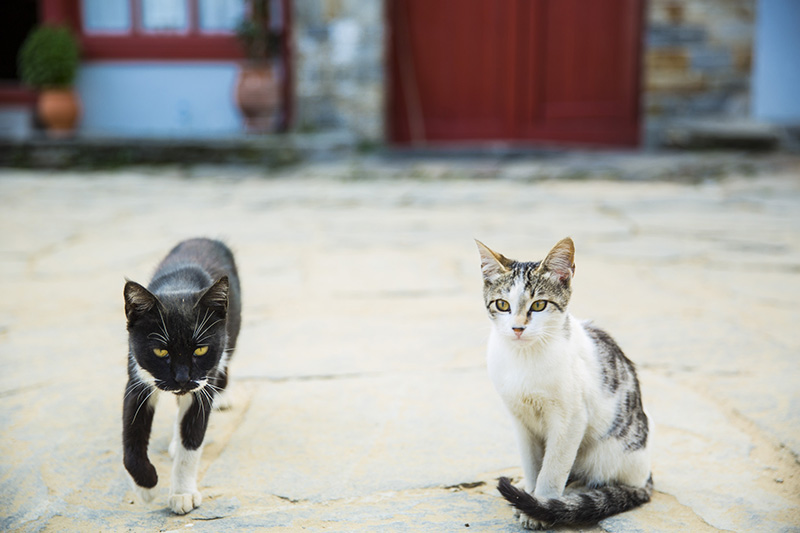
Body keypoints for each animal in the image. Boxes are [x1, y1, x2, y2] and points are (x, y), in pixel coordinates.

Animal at [122, 237, 241, 512]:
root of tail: (205, 238)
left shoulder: (202, 384)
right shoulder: (137, 378)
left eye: (200, 349)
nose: (182, 378)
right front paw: (146, 487)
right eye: (160, 351)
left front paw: (182, 493)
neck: (180, 286)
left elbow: (193, 438)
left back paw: (223, 395)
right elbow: (131, 438)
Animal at [476, 238, 648, 528]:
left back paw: (574, 493)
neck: (524, 357)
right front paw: (529, 496)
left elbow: (553, 468)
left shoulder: (571, 419)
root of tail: (646, 477)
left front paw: (541, 505)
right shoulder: (520, 419)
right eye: (501, 305)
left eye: (538, 305)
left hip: (609, 452)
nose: (517, 328)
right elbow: (533, 464)